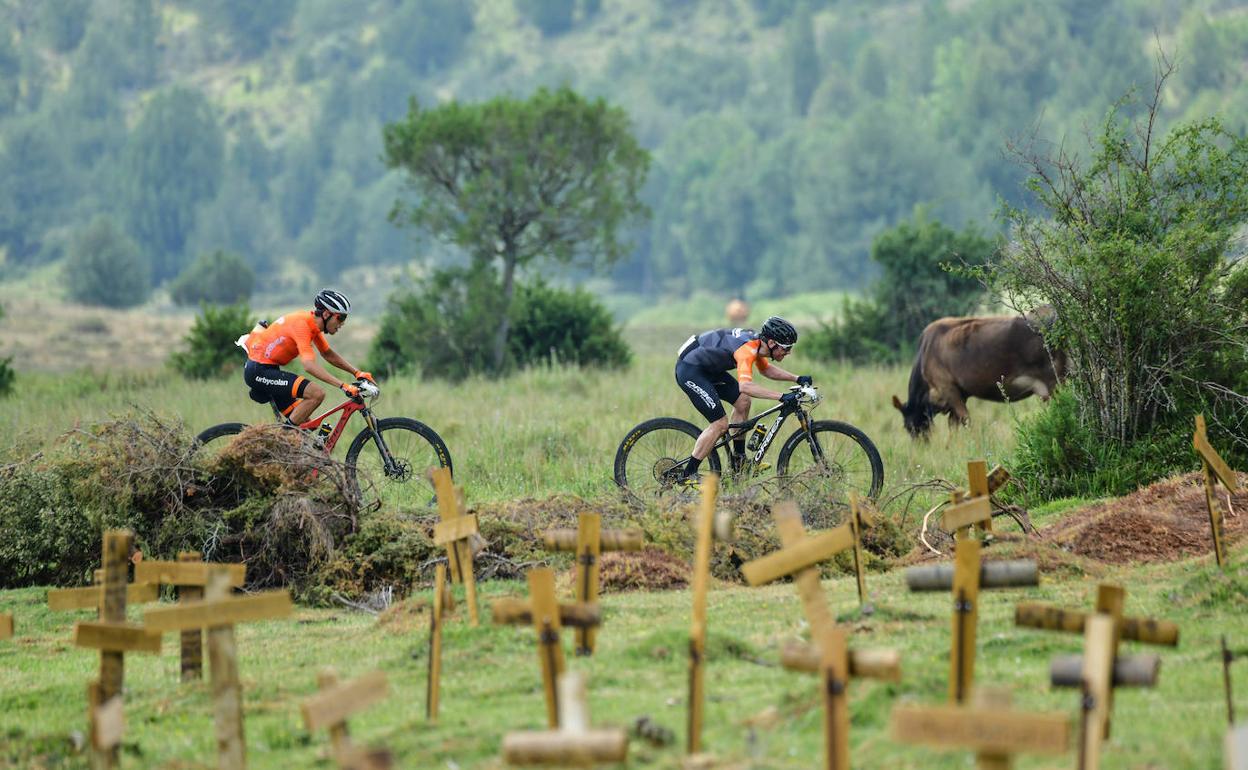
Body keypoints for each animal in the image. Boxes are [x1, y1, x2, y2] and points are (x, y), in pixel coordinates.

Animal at [888, 309, 1063, 434]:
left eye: (908, 426)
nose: (921, 445)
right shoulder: (960, 394)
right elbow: (954, 425)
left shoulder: (947, 388)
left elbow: (965, 421)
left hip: (1054, 380)